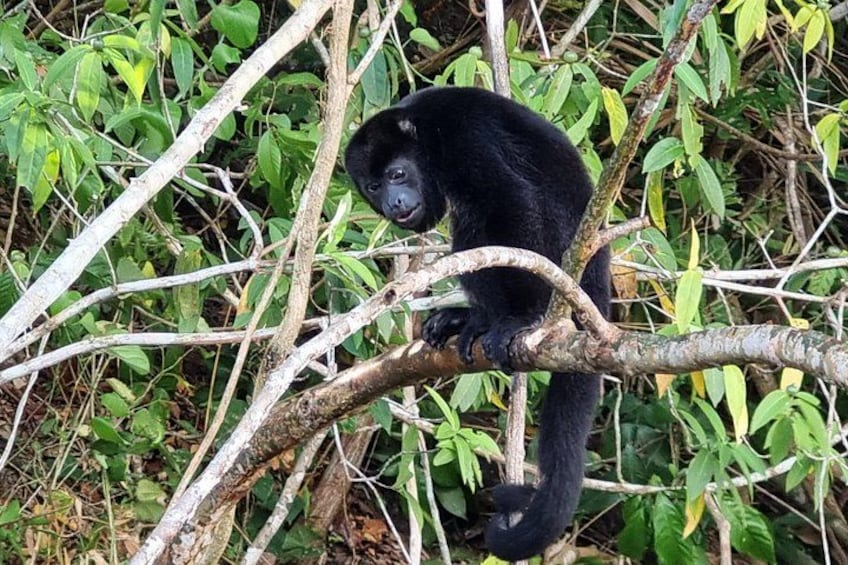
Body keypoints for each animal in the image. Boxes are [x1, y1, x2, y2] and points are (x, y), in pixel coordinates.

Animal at [344, 86, 610, 561]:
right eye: (374, 187)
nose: (393, 203)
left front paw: (519, 318)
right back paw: (471, 319)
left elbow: (508, 198)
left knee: (479, 219)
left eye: (397, 174)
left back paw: (511, 317)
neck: (423, 138)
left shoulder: (462, 137)